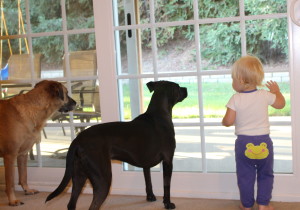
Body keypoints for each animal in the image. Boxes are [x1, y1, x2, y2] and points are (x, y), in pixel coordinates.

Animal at [46, 81, 188, 210]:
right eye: (178, 87)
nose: (186, 89)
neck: (159, 113)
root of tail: (77, 140)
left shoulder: (145, 164)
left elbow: (148, 181)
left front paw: (150, 197)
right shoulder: (168, 160)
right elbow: (166, 186)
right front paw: (168, 204)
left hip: (78, 176)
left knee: (71, 204)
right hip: (102, 179)